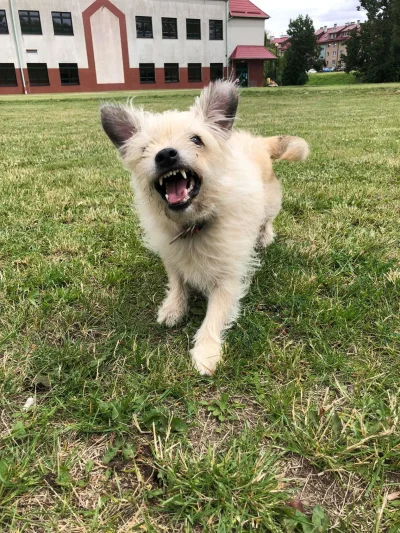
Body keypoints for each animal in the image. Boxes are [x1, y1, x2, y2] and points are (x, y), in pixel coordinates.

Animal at [101, 80, 310, 374]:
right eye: (144, 149)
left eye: (196, 139)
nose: (165, 155)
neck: (193, 225)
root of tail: (256, 141)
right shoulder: (172, 259)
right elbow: (177, 283)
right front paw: (173, 308)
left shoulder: (228, 280)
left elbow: (215, 315)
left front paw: (206, 350)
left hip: (270, 202)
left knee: (267, 219)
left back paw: (265, 236)